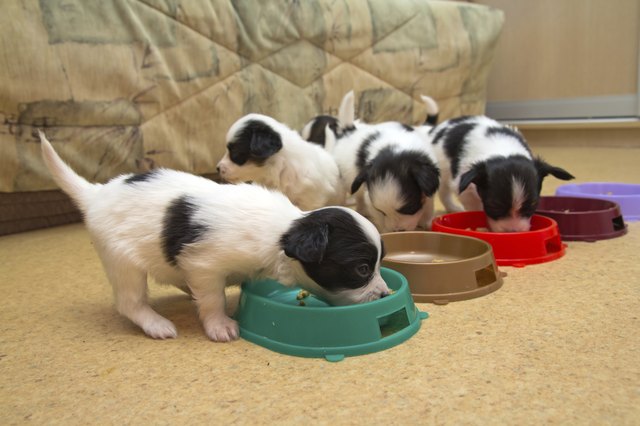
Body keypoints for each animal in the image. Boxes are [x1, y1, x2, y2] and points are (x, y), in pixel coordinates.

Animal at [41, 131, 390, 342]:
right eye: (362, 269)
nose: (386, 294)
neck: (282, 231)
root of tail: (96, 194)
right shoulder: (205, 265)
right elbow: (212, 298)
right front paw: (220, 325)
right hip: (123, 262)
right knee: (129, 302)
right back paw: (156, 324)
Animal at [328, 90, 442, 235]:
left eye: (410, 208)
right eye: (382, 212)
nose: (398, 230)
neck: (395, 146)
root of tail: (350, 130)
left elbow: (428, 204)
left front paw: (426, 223)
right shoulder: (370, 199)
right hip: (350, 177)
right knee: (358, 195)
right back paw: (362, 210)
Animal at [430, 115, 576, 231]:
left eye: (532, 205)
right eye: (494, 206)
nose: (512, 232)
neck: (502, 150)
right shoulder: (465, 188)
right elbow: (475, 207)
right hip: (444, 170)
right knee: (444, 191)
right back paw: (453, 207)